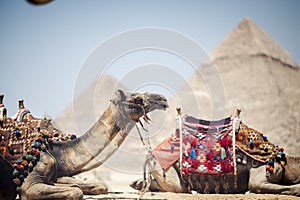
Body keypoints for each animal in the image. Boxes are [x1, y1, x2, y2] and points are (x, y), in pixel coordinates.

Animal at [0, 90, 169, 199]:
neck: (54, 151)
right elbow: (76, 192)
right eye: (137, 99)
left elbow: (98, 186)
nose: (163, 99)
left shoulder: (57, 175)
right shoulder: (28, 185)